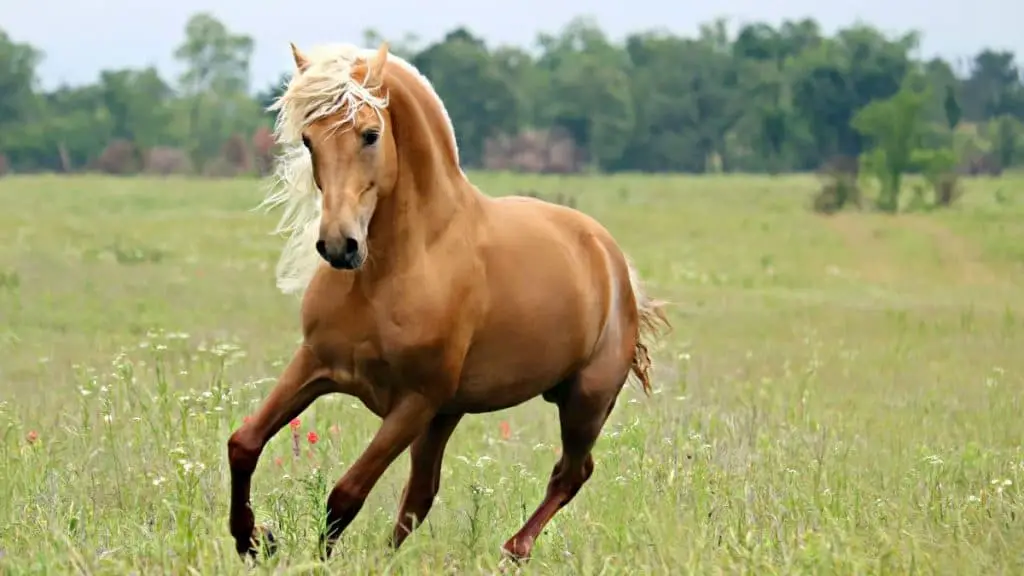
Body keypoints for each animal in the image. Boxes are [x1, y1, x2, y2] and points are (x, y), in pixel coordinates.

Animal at [225, 41, 671, 565]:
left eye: (370, 134)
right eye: (309, 139)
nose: (339, 246)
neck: (389, 273)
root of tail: (610, 257)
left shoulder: (415, 401)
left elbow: (346, 493)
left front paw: (311, 555)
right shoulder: (316, 365)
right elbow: (244, 443)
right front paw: (253, 539)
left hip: (585, 401)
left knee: (571, 474)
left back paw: (513, 550)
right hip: (449, 416)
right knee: (422, 494)